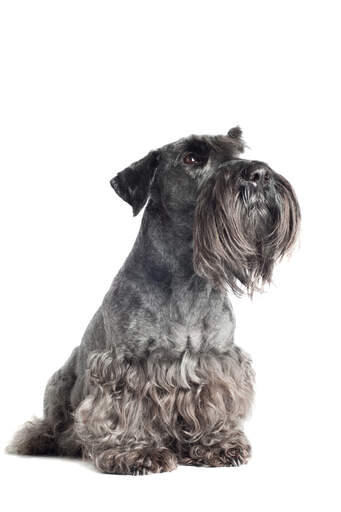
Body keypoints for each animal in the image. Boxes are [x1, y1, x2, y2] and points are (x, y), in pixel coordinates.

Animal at [7, 128, 300, 476]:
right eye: (191, 158)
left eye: (237, 152)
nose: (258, 174)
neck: (188, 276)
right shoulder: (124, 365)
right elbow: (122, 410)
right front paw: (135, 452)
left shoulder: (216, 359)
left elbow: (213, 402)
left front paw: (215, 444)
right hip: (60, 382)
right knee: (51, 425)